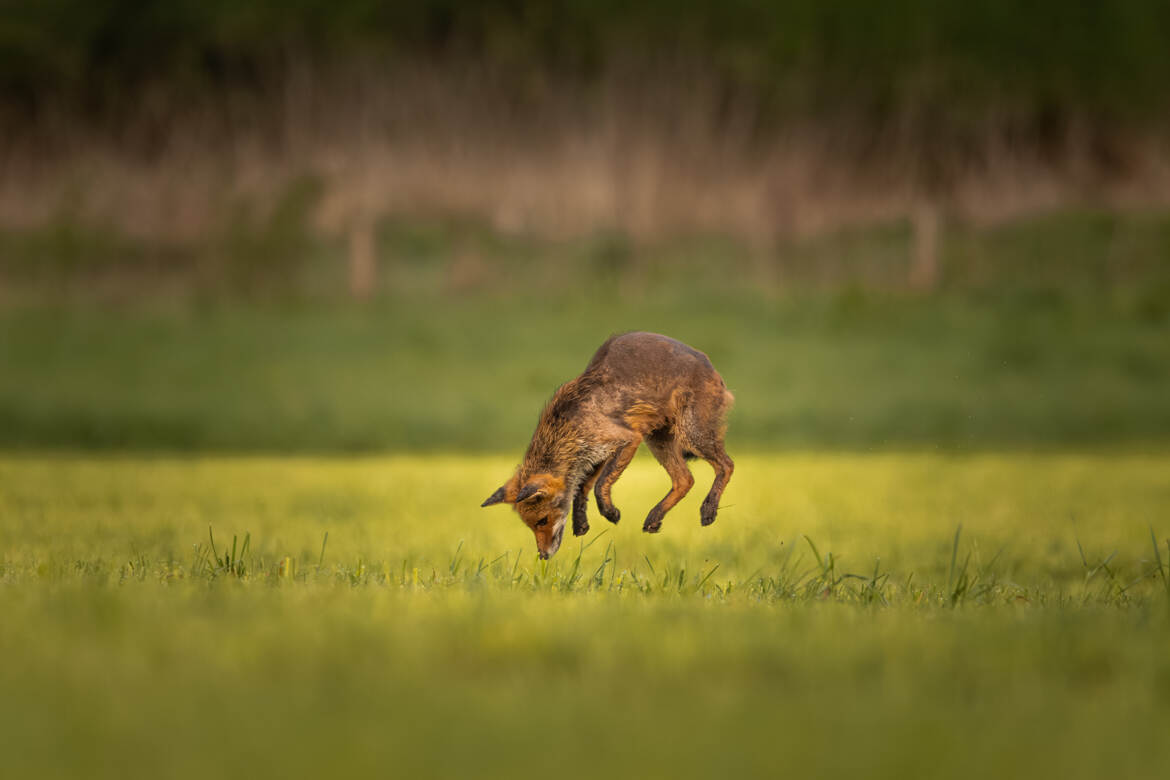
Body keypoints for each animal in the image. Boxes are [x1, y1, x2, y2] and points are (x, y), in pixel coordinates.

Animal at [482, 332, 734, 558]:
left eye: (543, 520)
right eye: (531, 525)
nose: (543, 556)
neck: (569, 425)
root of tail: (708, 362)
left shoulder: (627, 439)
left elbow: (600, 485)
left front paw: (610, 512)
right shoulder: (593, 456)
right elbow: (582, 489)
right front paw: (581, 524)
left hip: (691, 435)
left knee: (726, 465)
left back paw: (709, 509)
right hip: (659, 440)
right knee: (685, 480)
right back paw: (655, 517)